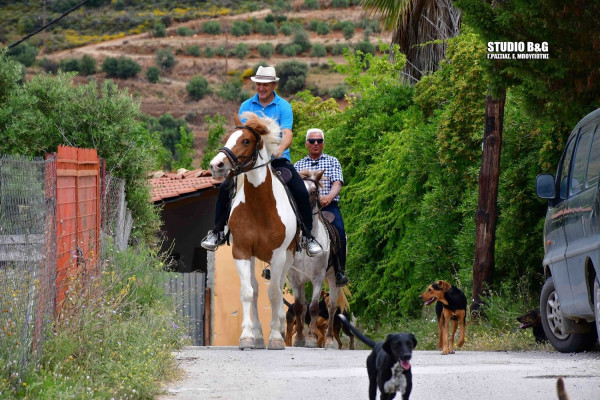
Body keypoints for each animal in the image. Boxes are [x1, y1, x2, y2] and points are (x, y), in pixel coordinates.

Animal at [210, 112, 296, 350]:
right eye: (228, 137)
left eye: (246, 141)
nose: (216, 165)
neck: (260, 206)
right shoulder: (241, 251)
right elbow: (248, 292)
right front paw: (248, 336)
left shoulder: (278, 255)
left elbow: (274, 294)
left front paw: (275, 337)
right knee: (256, 288)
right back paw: (258, 336)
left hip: (289, 257)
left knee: (277, 288)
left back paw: (280, 328)